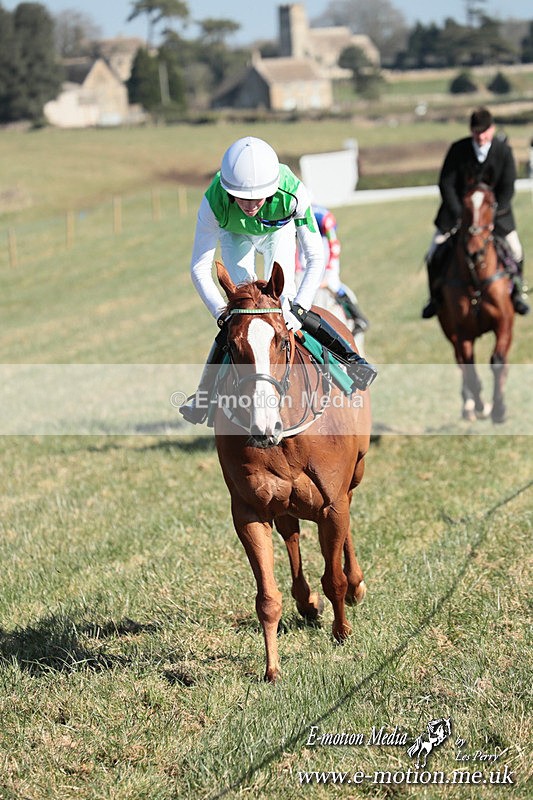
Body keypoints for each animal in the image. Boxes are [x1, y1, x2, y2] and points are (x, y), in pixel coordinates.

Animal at [213, 260, 371, 682]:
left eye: (282, 340)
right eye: (231, 346)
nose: (262, 425)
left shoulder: (332, 504)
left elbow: (333, 576)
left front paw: (342, 631)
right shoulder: (248, 512)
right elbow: (267, 598)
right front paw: (272, 668)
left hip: (356, 473)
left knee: (347, 520)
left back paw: (355, 585)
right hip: (283, 502)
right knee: (291, 531)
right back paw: (306, 602)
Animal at [436, 181, 515, 423]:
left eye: (491, 203)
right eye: (465, 205)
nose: (474, 252)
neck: (476, 278)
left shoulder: (504, 322)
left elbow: (498, 361)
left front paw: (499, 409)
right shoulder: (462, 333)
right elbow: (470, 371)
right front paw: (481, 405)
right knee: (461, 363)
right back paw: (469, 406)